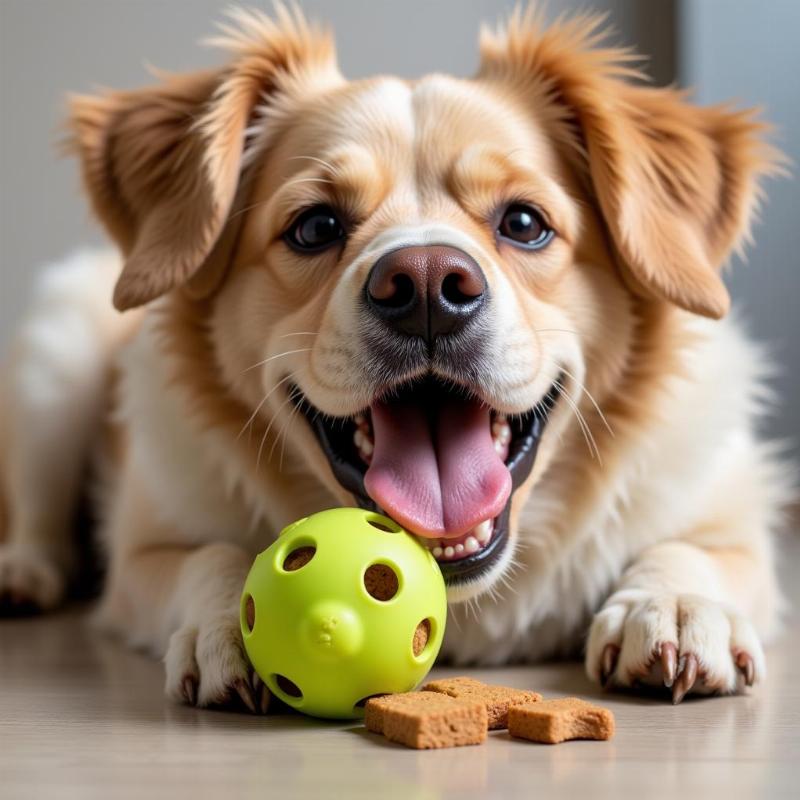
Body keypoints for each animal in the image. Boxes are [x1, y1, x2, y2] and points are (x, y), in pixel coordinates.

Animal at [0, 4, 792, 708]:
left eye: (525, 223)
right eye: (315, 227)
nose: (427, 287)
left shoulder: (731, 512)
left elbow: (700, 548)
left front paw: (677, 606)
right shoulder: (142, 556)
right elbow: (208, 555)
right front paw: (230, 622)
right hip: (54, 356)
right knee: (38, 515)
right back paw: (23, 573)